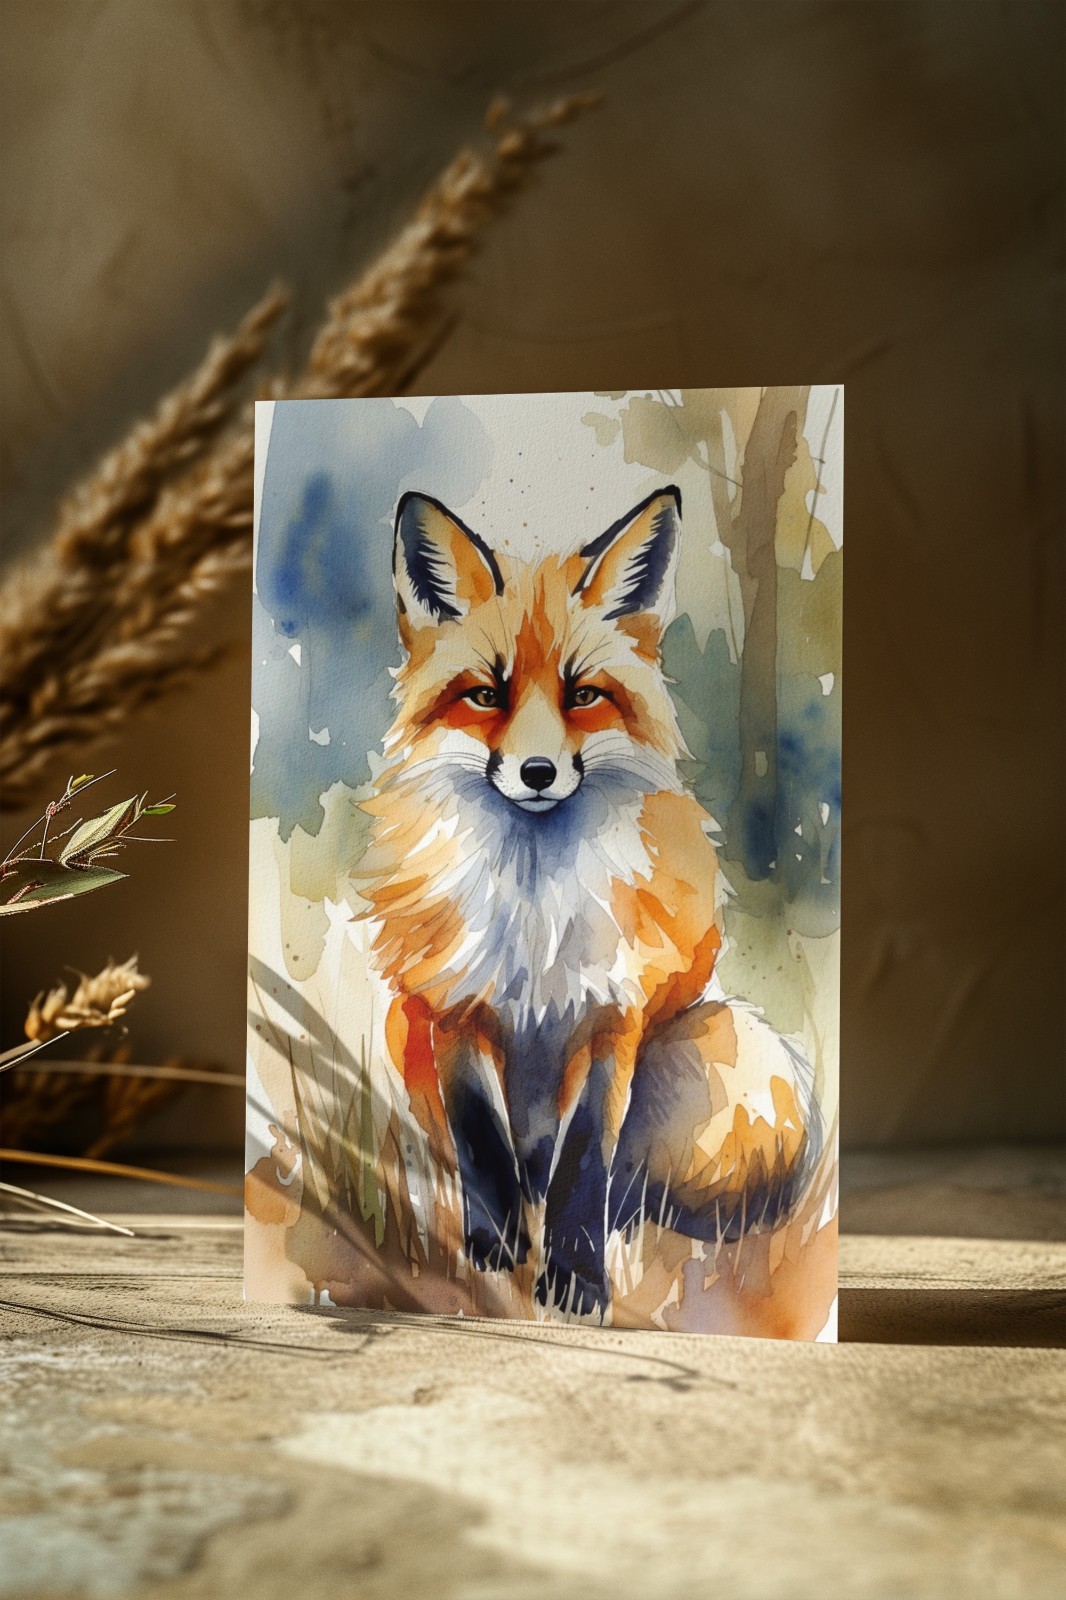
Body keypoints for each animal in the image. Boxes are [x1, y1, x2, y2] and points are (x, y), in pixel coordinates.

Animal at [357, 484, 821, 1317]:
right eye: (486, 695)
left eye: (583, 696)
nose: (538, 772)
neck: (534, 907)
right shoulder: (455, 1014)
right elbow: (481, 1146)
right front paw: (494, 1253)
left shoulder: (612, 1021)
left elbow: (585, 1164)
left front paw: (575, 1279)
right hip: (401, 1026)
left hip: (718, 1042)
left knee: (641, 1192)